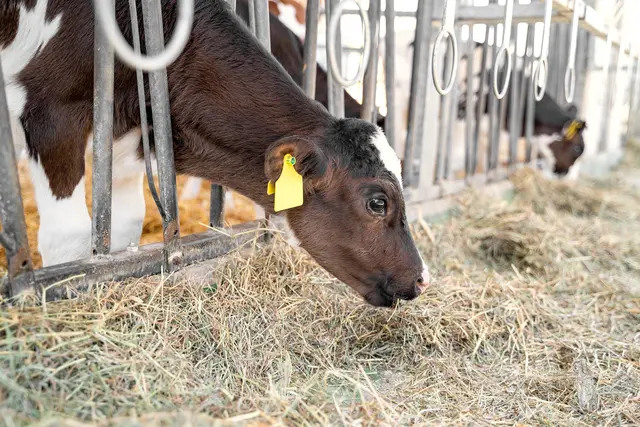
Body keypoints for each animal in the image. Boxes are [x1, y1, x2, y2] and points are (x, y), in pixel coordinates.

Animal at [1, 0, 427, 307]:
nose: (423, 278)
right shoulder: (51, 113)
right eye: (377, 203)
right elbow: (68, 238)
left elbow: (122, 227)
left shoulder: (125, 137)